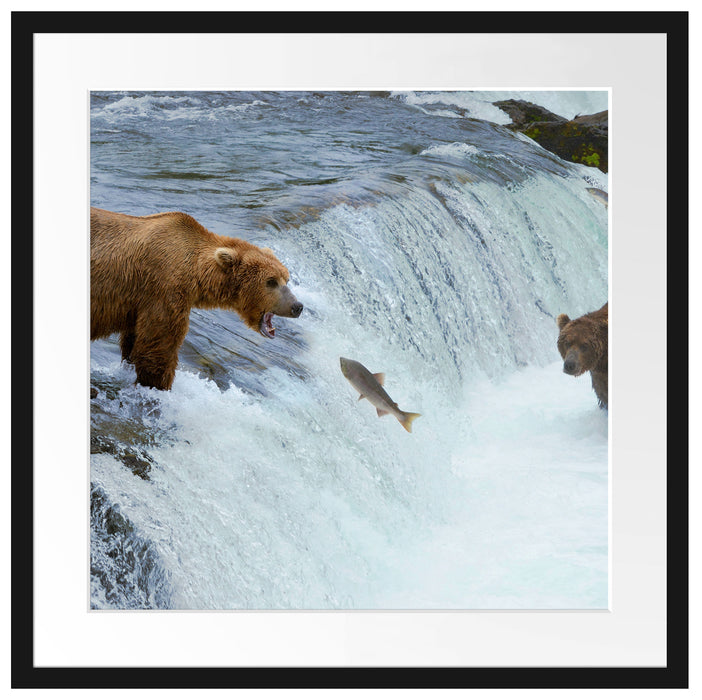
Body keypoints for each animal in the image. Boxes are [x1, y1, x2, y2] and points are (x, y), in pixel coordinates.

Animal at [90, 207, 303, 390]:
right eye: (271, 281)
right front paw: (158, 385)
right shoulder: (164, 290)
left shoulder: (139, 304)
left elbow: (133, 341)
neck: (196, 273)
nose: (297, 306)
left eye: (286, 278)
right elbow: (158, 348)